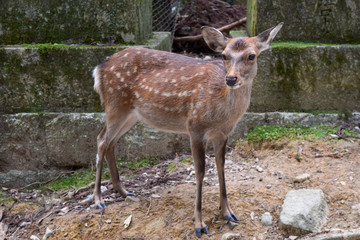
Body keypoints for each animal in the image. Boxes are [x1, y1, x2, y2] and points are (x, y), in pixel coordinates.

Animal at [91, 23, 282, 238]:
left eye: (251, 56)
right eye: (224, 55)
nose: (231, 79)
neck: (222, 113)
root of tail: (99, 68)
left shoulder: (223, 133)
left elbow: (221, 166)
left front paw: (228, 212)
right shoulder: (195, 127)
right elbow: (200, 171)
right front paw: (199, 224)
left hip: (130, 113)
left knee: (110, 142)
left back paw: (124, 191)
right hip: (115, 104)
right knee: (101, 140)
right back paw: (98, 200)